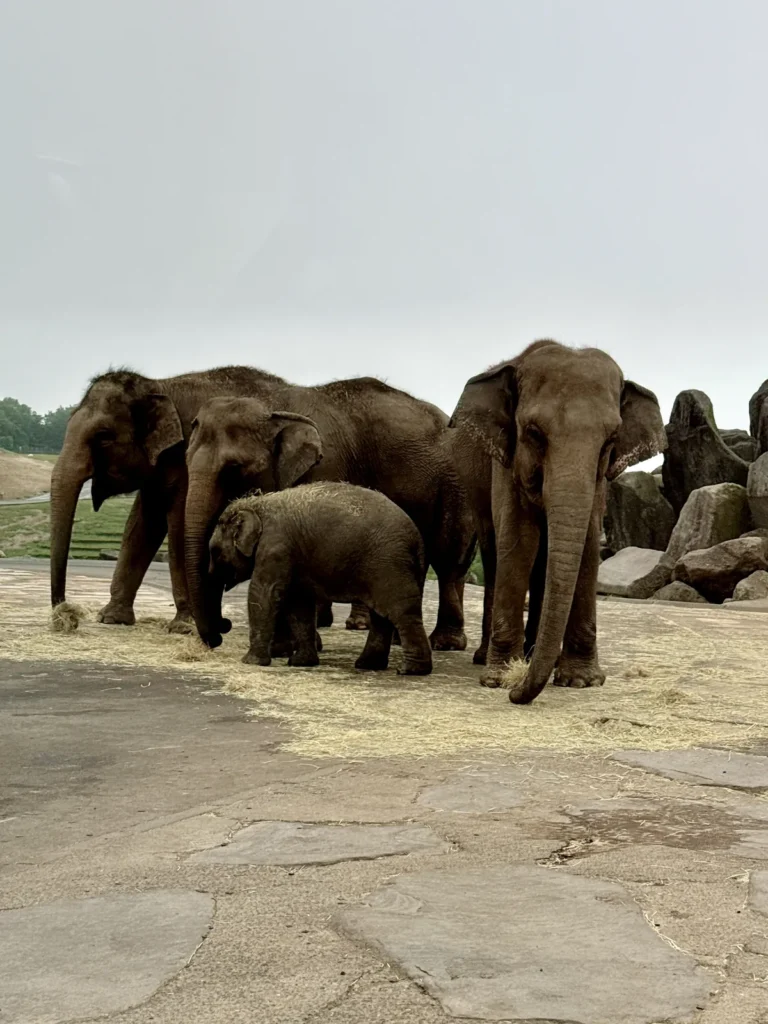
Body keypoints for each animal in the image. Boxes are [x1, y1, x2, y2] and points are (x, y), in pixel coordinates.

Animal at [50, 366, 284, 631]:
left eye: (103, 436)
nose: (65, 616)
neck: (161, 386)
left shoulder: (188, 460)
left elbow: (180, 526)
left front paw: (183, 625)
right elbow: (141, 527)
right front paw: (112, 618)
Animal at [183, 379, 476, 651]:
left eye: (233, 468)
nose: (223, 627)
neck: (273, 407)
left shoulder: (325, 464)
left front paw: (297, 646)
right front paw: (282, 648)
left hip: (457, 486)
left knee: (449, 558)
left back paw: (446, 643)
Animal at [209, 484, 433, 675]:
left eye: (214, 551)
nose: (225, 624)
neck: (257, 504)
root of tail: (418, 540)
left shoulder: (275, 547)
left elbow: (264, 594)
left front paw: (250, 662)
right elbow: (299, 603)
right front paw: (300, 662)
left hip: (390, 565)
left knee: (401, 612)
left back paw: (410, 670)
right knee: (382, 615)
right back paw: (368, 665)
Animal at [450, 339, 666, 705]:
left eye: (610, 441)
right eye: (534, 433)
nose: (516, 693)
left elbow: (589, 545)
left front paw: (581, 682)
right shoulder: (506, 463)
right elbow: (519, 541)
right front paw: (499, 679)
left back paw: (533, 653)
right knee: (495, 552)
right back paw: (489, 657)